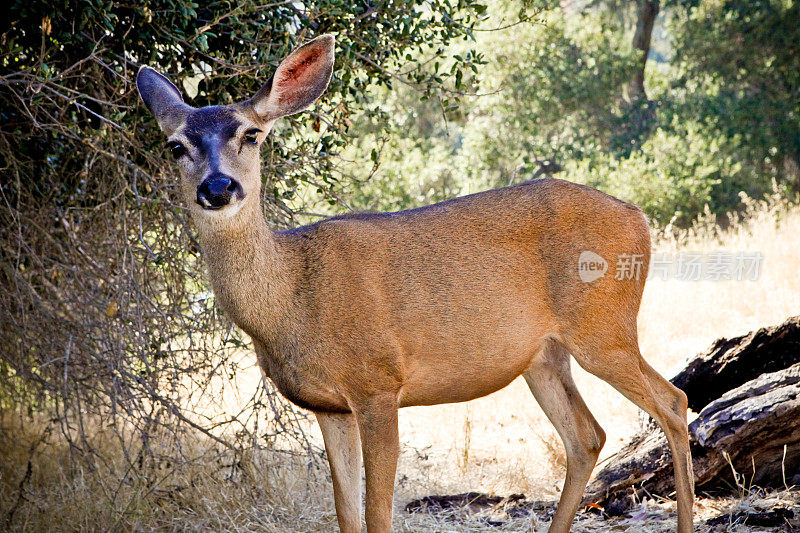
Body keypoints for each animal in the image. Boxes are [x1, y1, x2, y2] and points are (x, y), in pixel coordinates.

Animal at [136, 35, 692, 528]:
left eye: (251, 134)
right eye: (175, 146)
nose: (218, 187)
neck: (293, 295)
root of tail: (638, 217)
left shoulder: (378, 383)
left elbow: (378, 515)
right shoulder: (328, 406)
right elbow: (346, 514)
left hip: (604, 328)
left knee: (672, 401)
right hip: (542, 355)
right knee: (587, 436)